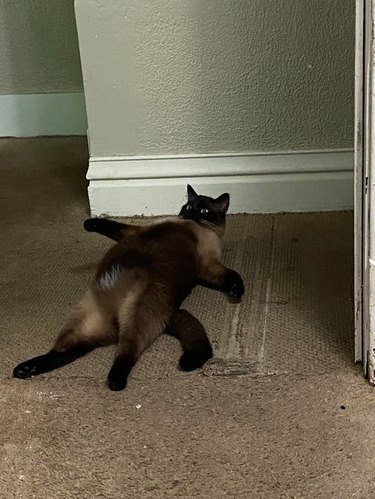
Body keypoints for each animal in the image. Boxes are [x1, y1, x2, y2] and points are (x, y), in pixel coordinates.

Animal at [13, 186, 245, 392]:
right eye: (189, 206)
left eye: (204, 210)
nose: (192, 212)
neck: (191, 225)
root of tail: (114, 316)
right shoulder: (136, 231)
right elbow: (111, 225)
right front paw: (89, 223)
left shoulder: (208, 265)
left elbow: (232, 275)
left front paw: (237, 292)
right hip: (83, 317)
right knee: (72, 350)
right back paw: (24, 369)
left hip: (137, 311)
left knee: (126, 352)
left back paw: (116, 382)